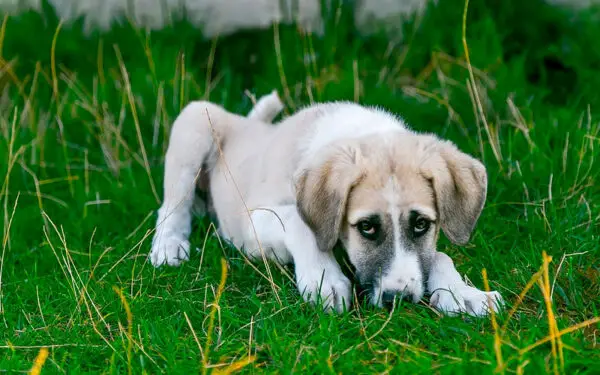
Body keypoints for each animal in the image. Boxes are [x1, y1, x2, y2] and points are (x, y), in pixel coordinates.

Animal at [149, 92, 502, 318]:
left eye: (421, 224)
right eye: (366, 227)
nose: (398, 299)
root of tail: (247, 124)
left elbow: (439, 255)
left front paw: (463, 292)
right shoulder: (254, 221)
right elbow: (299, 222)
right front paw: (324, 279)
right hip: (195, 121)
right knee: (172, 204)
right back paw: (168, 245)